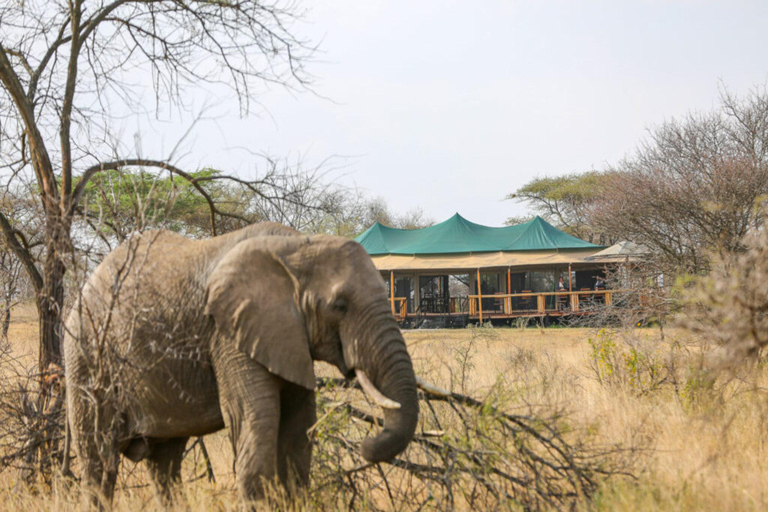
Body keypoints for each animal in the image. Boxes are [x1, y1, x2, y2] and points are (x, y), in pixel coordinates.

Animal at [63, 222, 424, 506]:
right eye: (340, 306)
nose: (365, 444)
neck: (298, 246)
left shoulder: (286, 337)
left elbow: (299, 429)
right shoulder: (227, 333)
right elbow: (257, 418)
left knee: (165, 463)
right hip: (86, 357)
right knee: (99, 462)